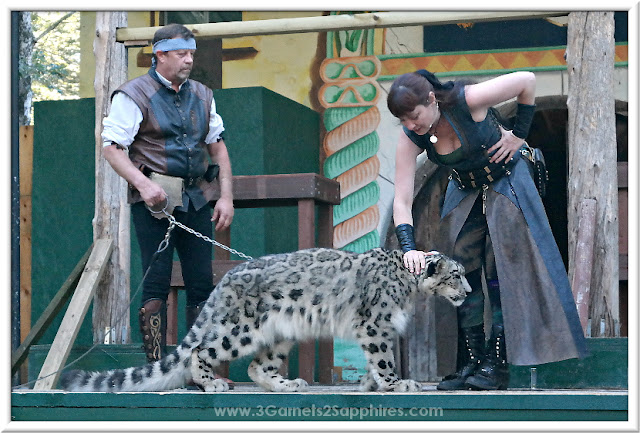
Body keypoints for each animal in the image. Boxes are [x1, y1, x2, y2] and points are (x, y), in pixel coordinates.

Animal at [60, 246, 470, 392]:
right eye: (455, 274)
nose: (467, 291)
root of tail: (226, 277)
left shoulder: (377, 329)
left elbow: (375, 360)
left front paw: (370, 384)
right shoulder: (377, 325)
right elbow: (383, 357)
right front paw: (396, 384)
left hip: (281, 333)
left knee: (259, 366)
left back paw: (288, 385)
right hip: (238, 329)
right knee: (201, 351)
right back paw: (212, 383)